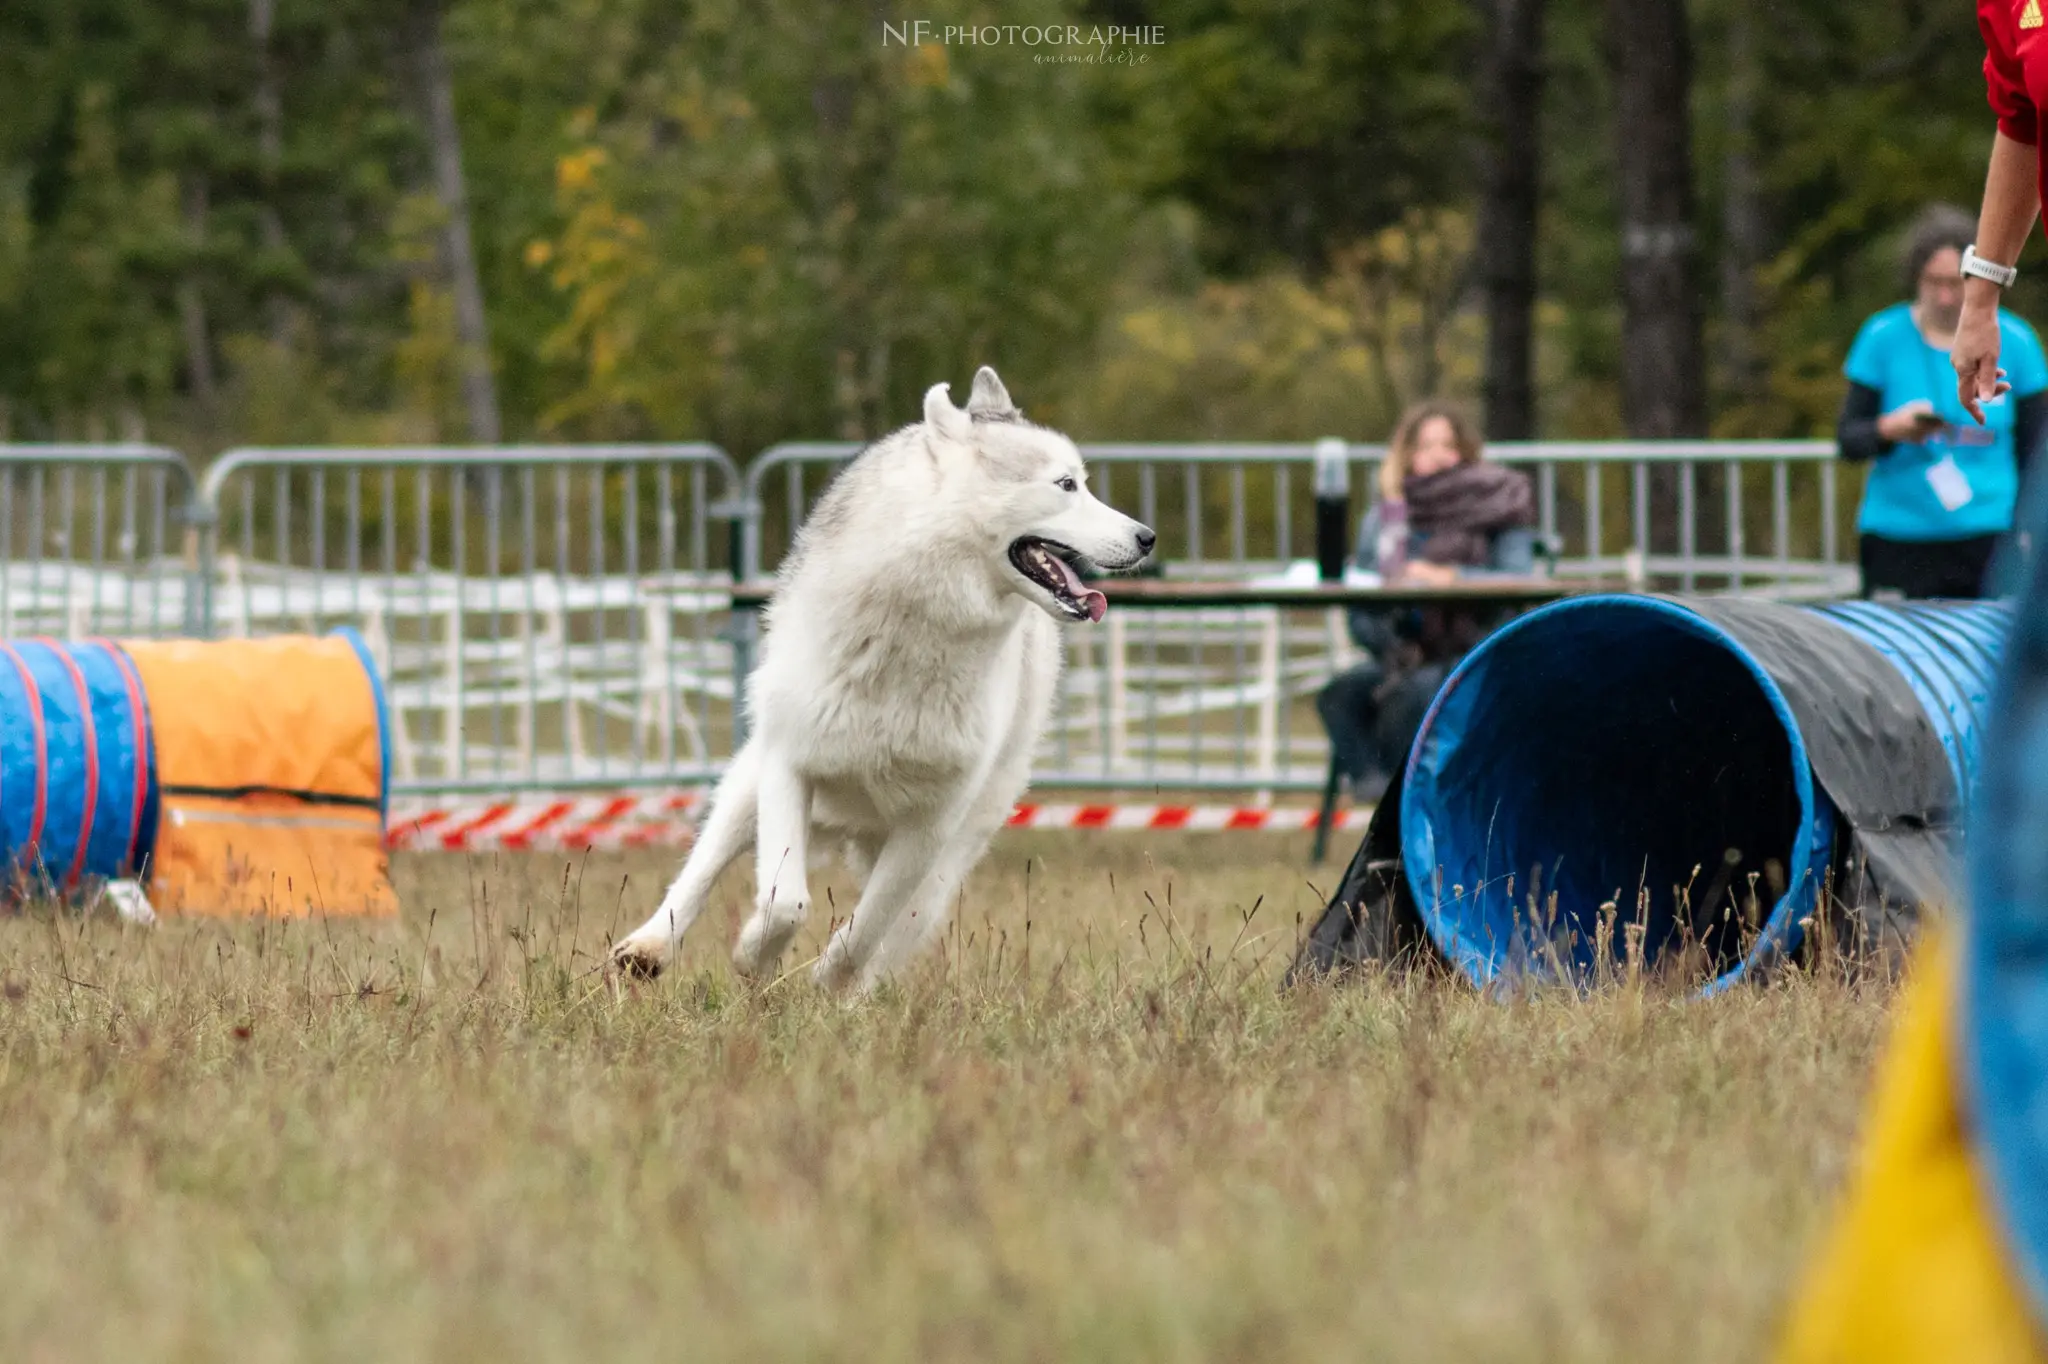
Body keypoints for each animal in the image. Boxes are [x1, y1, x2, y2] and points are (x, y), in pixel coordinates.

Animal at [602, 368, 1155, 987]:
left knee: (897, 932)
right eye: (1066, 484)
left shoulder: (928, 828)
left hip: (947, 861)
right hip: (749, 788)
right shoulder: (789, 764)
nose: (1148, 537)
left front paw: (820, 986)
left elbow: (861, 936)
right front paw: (754, 958)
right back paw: (649, 948)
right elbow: (785, 901)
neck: (916, 626)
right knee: (701, 869)